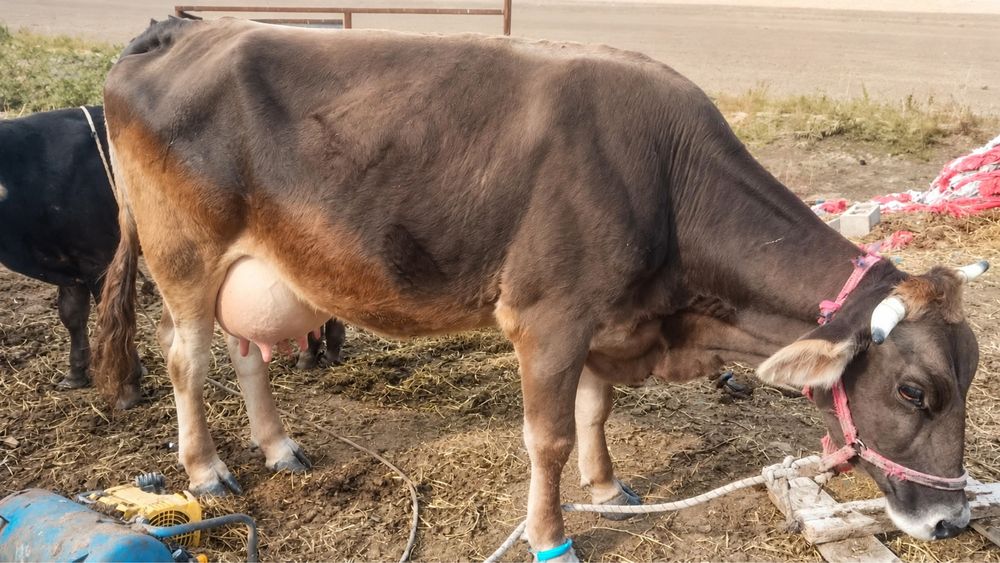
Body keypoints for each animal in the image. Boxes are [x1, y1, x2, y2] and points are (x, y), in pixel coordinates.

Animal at [94, 18, 987, 560]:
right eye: (914, 390)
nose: (952, 518)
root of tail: (180, 28)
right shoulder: (549, 315)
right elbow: (549, 437)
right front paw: (551, 532)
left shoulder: (605, 316)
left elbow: (595, 409)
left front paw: (609, 485)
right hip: (184, 257)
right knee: (187, 361)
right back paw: (208, 469)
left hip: (255, 268)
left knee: (248, 353)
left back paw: (279, 446)